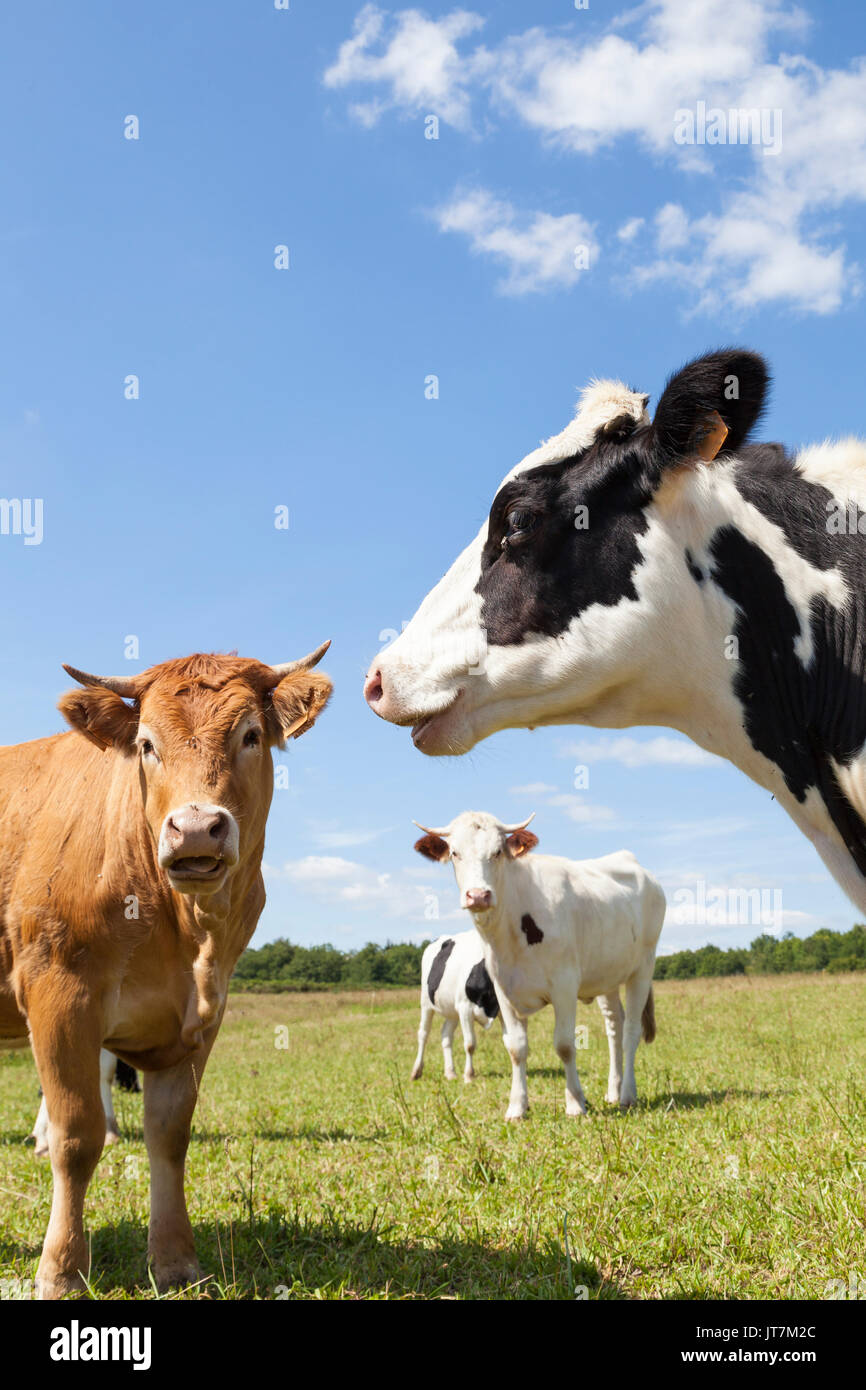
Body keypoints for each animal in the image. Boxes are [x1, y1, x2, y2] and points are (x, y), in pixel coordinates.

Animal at [0, 644, 332, 1295]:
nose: (197, 828)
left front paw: (176, 1260)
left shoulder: (200, 1014)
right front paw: (62, 1270)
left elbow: (170, 1135)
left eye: (250, 735)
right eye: (147, 743)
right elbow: (75, 1136)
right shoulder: (58, 994)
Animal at [414, 934, 500, 1084]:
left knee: (446, 1035)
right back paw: (417, 1071)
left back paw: (450, 1072)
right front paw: (469, 1075)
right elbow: (470, 1044)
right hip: (426, 1002)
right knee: (423, 1034)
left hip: (452, 1010)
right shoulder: (465, 1008)